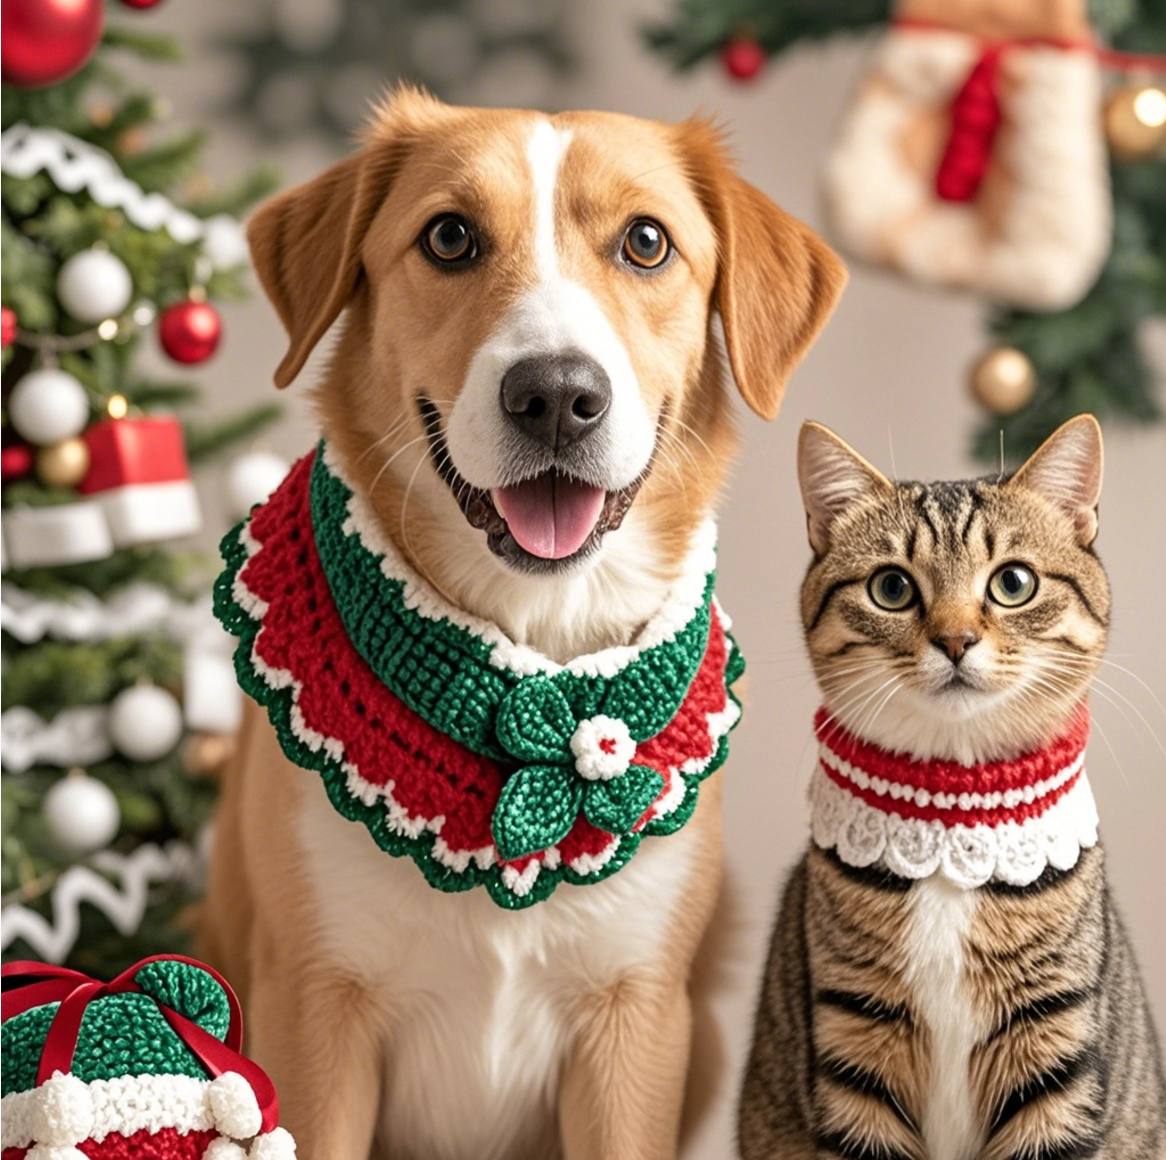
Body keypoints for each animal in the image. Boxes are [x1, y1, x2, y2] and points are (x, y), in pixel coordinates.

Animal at [198, 88, 839, 1160]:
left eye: (647, 242)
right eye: (450, 236)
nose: (556, 396)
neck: (537, 634)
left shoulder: (636, 1025)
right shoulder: (315, 1013)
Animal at [741, 417, 1161, 1160]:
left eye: (1013, 582)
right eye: (891, 588)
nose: (957, 639)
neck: (952, 815)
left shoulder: (1054, 1045)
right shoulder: (853, 1040)